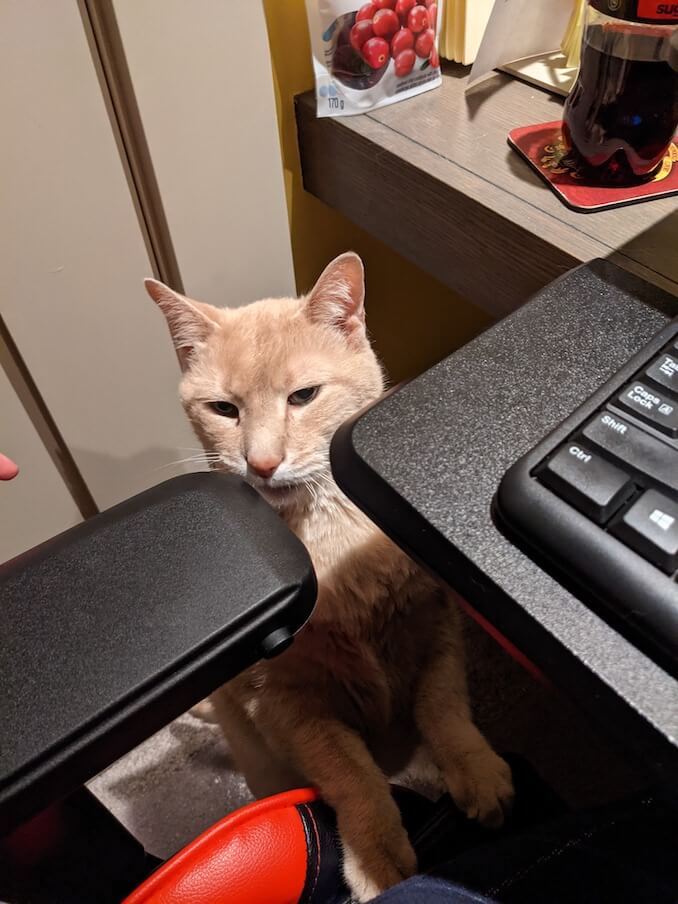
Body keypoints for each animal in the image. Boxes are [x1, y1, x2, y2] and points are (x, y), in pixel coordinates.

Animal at [146, 251, 512, 900]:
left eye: (304, 396)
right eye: (224, 410)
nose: (262, 462)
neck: (330, 543)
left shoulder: (436, 628)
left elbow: (444, 707)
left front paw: (475, 770)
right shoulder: (287, 707)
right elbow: (352, 776)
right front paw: (376, 855)